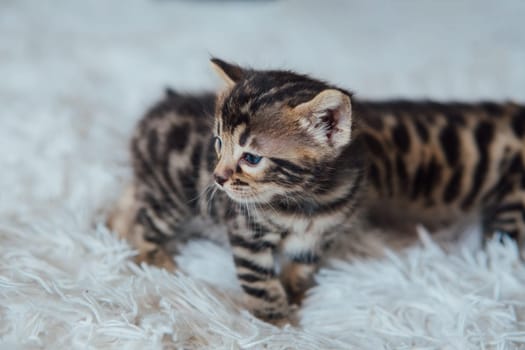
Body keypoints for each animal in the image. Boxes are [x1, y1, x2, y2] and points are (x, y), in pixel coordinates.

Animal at [107, 58, 524, 324]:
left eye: (251, 157)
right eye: (218, 143)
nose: (218, 177)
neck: (306, 201)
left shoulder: (321, 234)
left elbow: (302, 268)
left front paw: (295, 295)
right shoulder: (247, 232)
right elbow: (259, 279)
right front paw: (277, 321)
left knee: (130, 203)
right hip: (170, 197)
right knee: (146, 226)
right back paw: (156, 261)